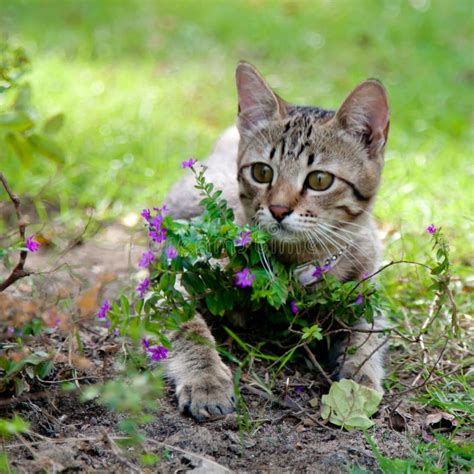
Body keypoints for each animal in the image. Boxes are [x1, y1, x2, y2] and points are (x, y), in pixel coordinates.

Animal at [163, 61, 388, 420]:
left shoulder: (367, 295)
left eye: (320, 180)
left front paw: (357, 387)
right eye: (262, 172)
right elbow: (189, 327)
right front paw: (206, 379)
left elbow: (366, 337)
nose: (279, 209)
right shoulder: (171, 283)